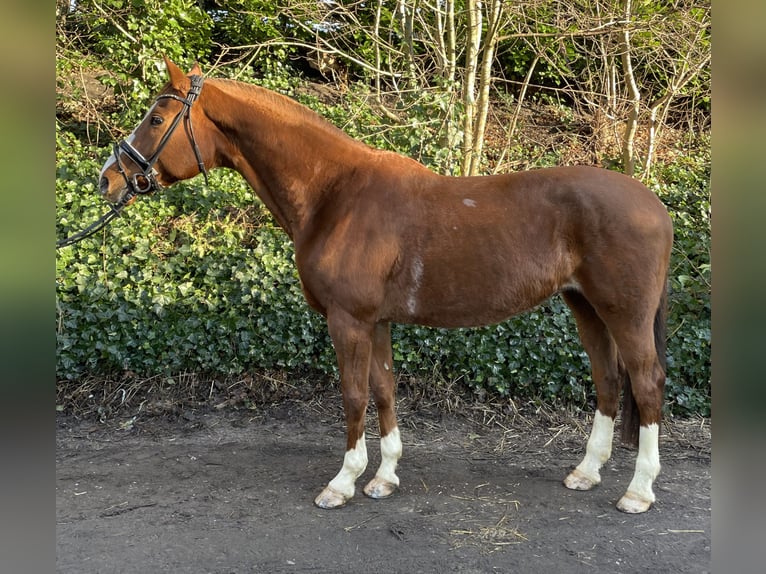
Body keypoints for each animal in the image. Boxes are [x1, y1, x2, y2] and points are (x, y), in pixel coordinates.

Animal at [100, 60, 672, 516]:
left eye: (155, 119)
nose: (108, 178)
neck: (335, 194)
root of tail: (655, 205)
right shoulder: (375, 322)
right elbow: (383, 391)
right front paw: (384, 477)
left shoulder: (348, 320)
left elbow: (354, 395)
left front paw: (342, 482)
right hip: (585, 306)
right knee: (606, 381)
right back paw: (586, 473)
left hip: (624, 313)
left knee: (646, 384)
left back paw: (638, 492)